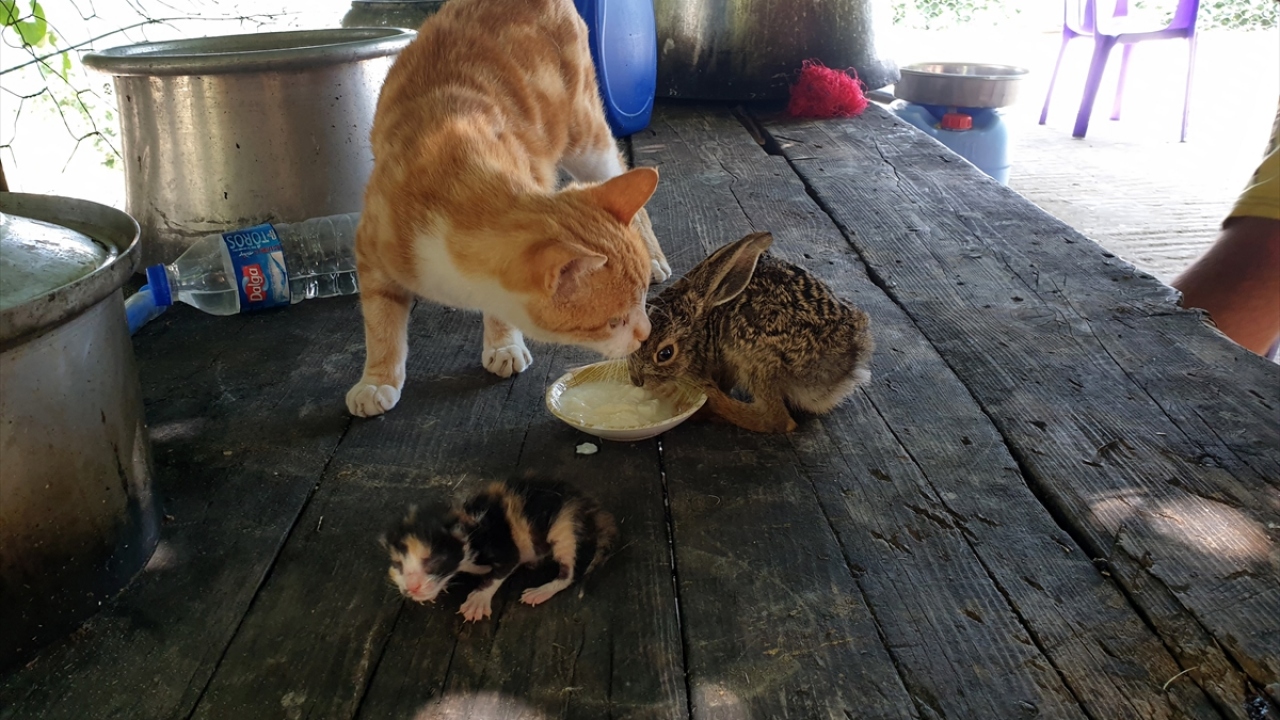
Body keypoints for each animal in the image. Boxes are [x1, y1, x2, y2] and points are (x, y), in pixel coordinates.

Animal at [345, 0, 671, 417]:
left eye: (643, 299)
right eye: (613, 321)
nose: (646, 333)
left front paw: (503, 344)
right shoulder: (371, 253)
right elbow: (381, 325)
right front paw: (376, 381)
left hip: (587, 141)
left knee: (623, 175)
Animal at [627, 231, 873, 434]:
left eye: (665, 354)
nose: (637, 381)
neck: (704, 328)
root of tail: (850, 362)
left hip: (757, 357)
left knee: (777, 421)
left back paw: (712, 401)